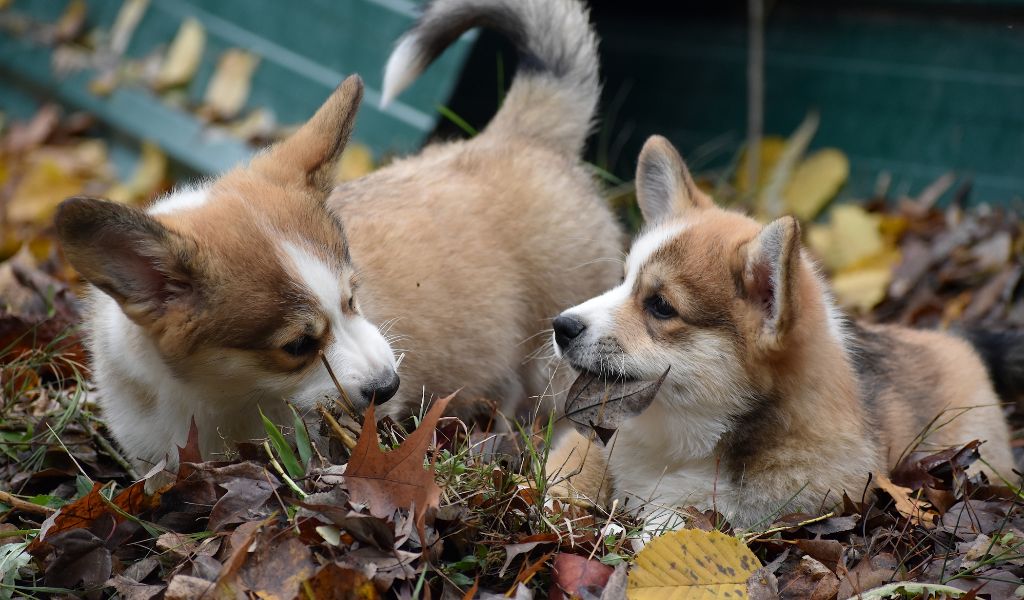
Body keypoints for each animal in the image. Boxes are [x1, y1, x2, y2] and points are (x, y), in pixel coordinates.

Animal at [56, 0, 618, 468]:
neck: (223, 398)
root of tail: (522, 136)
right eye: (298, 345)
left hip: (556, 363)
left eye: (353, 299)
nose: (390, 386)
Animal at [548, 135, 1011, 528]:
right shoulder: (592, 445)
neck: (680, 440)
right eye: (622, 281)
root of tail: (954, 342)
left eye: (661, 306)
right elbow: (565, 471)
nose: (560, 327)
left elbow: (678, 517)